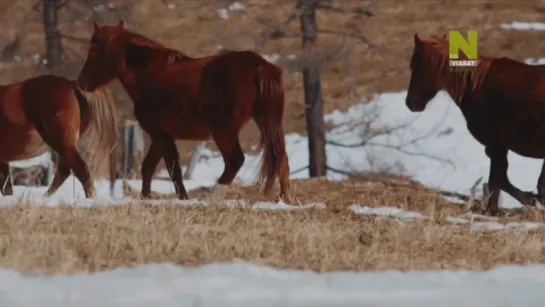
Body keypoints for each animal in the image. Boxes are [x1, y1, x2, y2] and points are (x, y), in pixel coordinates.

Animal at [75, 20, 294, 203]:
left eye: (92, 48)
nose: (81, 82)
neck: (147, 73)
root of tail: (260, 66)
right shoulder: (160, 135)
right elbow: (149, 167)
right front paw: (146, 198)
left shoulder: (160, 134)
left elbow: (173, 169)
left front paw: (182, 198)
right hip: (267, 121)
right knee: (281, 158)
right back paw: (285, 199)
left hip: (224, 131)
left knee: (235, 160)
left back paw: (213, 196)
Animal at [404, 33, 545, 215]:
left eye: (415, 65)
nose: (410, 103)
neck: (475, 85)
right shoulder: (497, 148)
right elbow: (502, 180)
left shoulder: (496, 146)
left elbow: (497, 180)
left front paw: (493, 210)